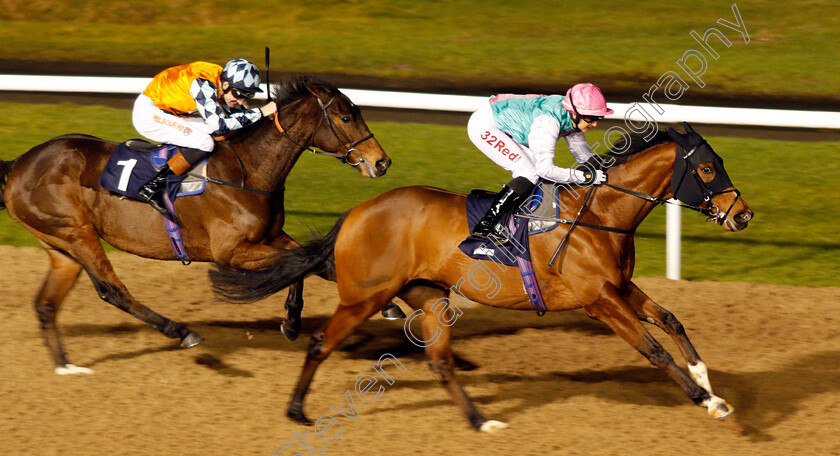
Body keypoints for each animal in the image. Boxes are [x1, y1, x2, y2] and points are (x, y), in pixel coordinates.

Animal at [0, 74, 392, 374]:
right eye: (346, 118)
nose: (382, 162)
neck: (246, 171)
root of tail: (20, 162)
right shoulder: (230, 252)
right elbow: (304, 262)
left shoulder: (272, 236)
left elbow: (311, 262)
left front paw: (304, 319)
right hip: (77, 233)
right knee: (112, 289)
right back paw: (180, 331)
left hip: (60, 246)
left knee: (46, 304)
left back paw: (65, 365)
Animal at [210, 124, 756, 432]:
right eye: (709, 169)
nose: (743, 214)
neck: (599, 215)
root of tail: (357, 212)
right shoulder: (599, 301)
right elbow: (654, 349)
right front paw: (707, 401)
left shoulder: (620, 288)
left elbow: (672, 320)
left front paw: (707, 378)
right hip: (365, 295)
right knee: (321, 341)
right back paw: (296, 409)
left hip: (429, 297)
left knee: (440, 362)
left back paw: (480, 420)